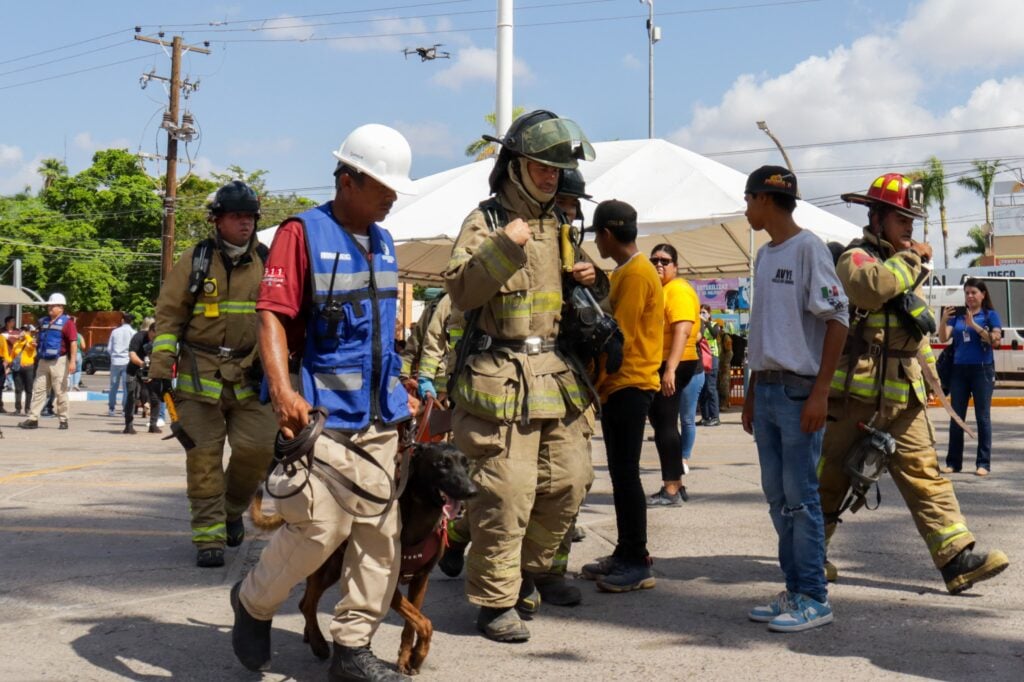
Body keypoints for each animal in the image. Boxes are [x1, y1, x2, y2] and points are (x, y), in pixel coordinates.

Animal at [247, 438, 475, 671]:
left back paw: (309, 636)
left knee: (306, 601)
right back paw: (318, 643)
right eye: (442, 464)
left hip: (334, 569)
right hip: (320, 561)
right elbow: (425, 622)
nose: (472, 491)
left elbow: (412, 624)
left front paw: (409, 657)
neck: (421, 515)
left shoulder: (420, 580)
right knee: (307, 603)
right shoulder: (386, 586)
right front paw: (418, 654)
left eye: (466, 465)